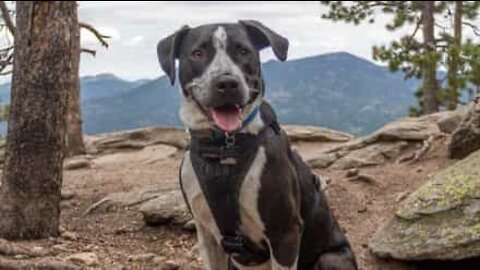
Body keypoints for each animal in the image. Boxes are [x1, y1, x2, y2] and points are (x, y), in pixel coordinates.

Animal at [158, 20, 356, 268]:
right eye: (198, 53)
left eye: (244, 51)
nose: (227, 83)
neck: (223, 147)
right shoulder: (207, 237)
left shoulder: (285, 233)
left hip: (330, 258)